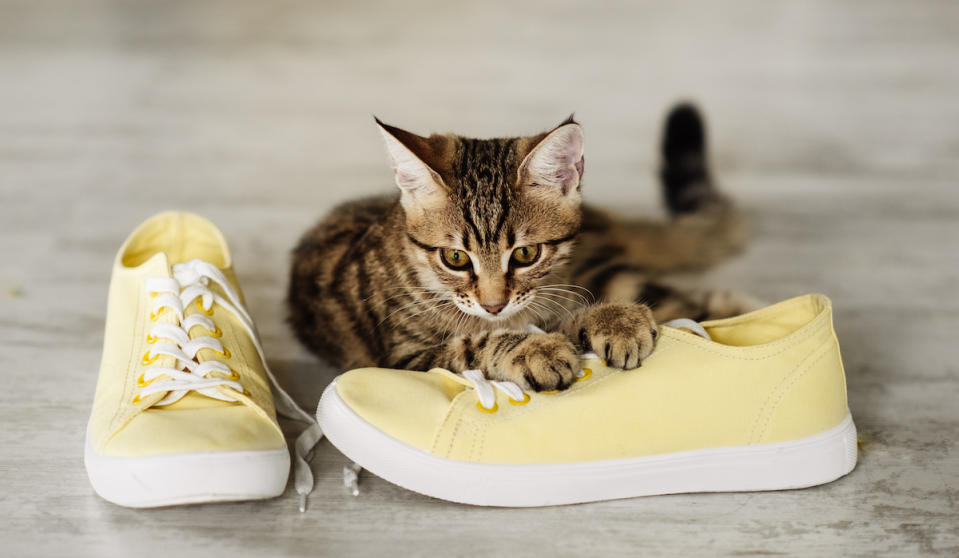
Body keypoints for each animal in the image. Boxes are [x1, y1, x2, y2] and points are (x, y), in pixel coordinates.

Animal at [284, 104, 756, 394]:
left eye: (526, 255)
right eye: (455, 258)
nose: (493, 305)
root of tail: (603, 218)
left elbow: (564, 316)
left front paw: (614, 319)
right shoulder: (405, 359)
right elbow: (470, 346)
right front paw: (533, 348)